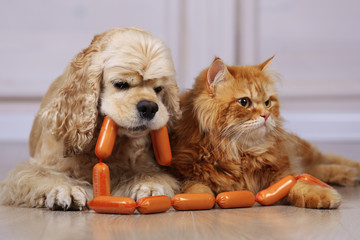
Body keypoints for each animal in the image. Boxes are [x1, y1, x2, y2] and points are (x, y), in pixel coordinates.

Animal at [0, 26, 180, 210]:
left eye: (159, 88)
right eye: (120, 84)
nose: (150, 108)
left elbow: (150, 174)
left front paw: (150, 187)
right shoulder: (36, 168)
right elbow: (42, 175)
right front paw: (66, 190)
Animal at [169, 56, 360, 208]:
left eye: (268, 102)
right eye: (244, 102)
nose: (266, 115)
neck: (239, 152)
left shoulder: (280, 175)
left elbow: (295, 185)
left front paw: (322, 195)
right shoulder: (184, 173)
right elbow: (197, 187)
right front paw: (199, 199)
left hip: (306, 152)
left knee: (327, 160)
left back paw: (353, 172)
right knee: (316, 169)